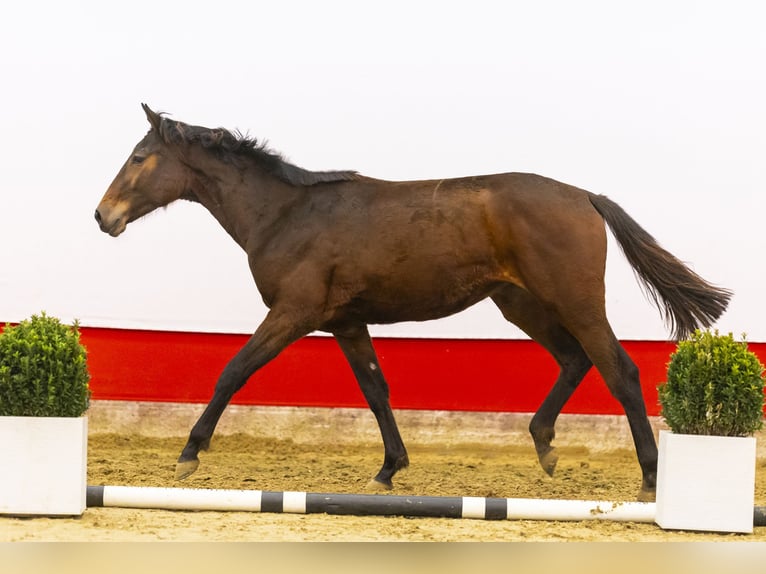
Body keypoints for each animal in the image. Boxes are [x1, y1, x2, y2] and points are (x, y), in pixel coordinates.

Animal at [94, 104, 732, 504]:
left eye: (139, 157)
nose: (103, 216)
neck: (286, 215)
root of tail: (585, 196)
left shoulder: (293, 315)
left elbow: (233, 370)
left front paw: (188, 454)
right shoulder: (347, 323)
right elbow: (376, 390)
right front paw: (387, 470)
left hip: (574, 302)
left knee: (618, 369)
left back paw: (649, 479)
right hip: (521, 304)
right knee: (575, 361)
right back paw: (545, 446)